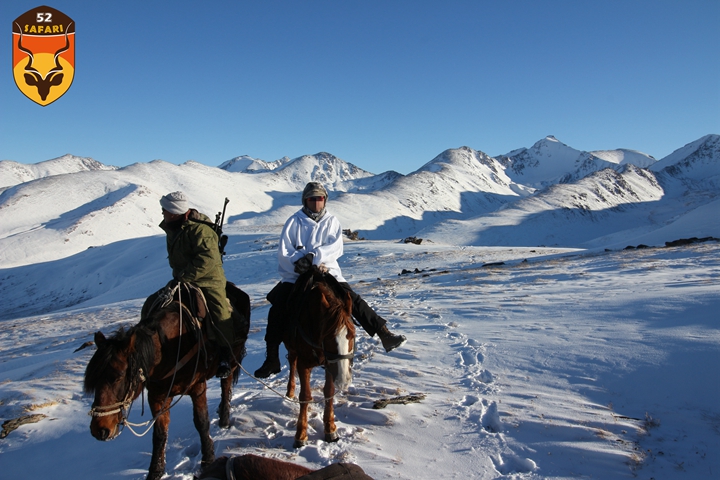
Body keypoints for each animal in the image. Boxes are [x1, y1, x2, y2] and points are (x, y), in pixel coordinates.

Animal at [83, 282, 250, 480]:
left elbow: (201, 422)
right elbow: (159, 433)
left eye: (118, 376)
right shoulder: (157, 396)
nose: (100, 430)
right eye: (94, 380)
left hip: (232, 360)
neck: (168, 347)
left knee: (226, 387)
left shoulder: (198, 387)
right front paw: (156, 471)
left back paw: (224, 419)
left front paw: (208, 459)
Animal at [282, 268, 354, 448]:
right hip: (292, 350)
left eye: (352, 335)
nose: (344, 380)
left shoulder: (330, 364)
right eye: (328, 338)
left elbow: (329, 391)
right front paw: (300, 434)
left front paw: (330, 428)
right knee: (291, 363)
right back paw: (290, 390)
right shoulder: (304, 363)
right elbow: (305, 396)